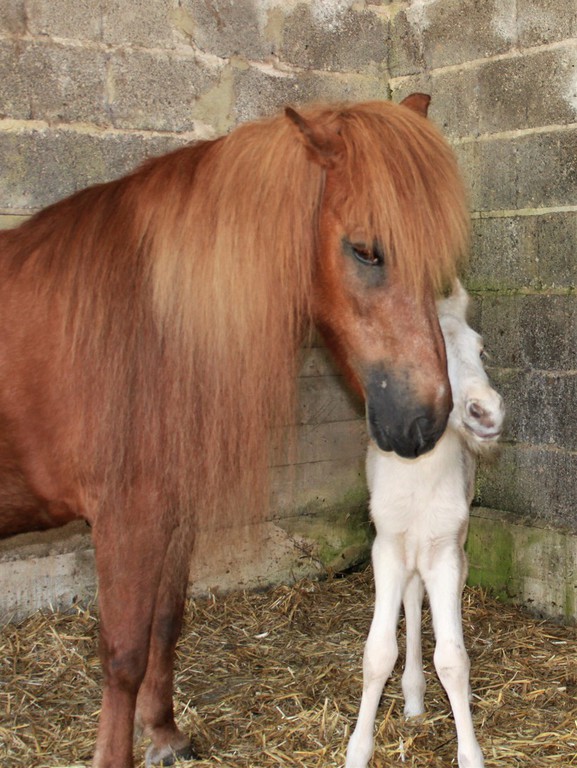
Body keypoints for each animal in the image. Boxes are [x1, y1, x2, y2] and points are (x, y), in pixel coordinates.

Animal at [0, 94, 469, 767]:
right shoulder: (126, 515)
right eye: (365, 250)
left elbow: (165, 622)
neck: (152, 322)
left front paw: (164, 733)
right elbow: (123, 653)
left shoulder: (171, 511)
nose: (425, 422)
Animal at [345, 279, 505, 768]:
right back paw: (413, 697)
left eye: (481, 348)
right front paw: (357, 749)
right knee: (412, 604)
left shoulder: (444, 551)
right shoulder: (387, 548)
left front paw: (470, 752)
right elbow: (378, 652)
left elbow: (453, 658)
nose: (486, 412)